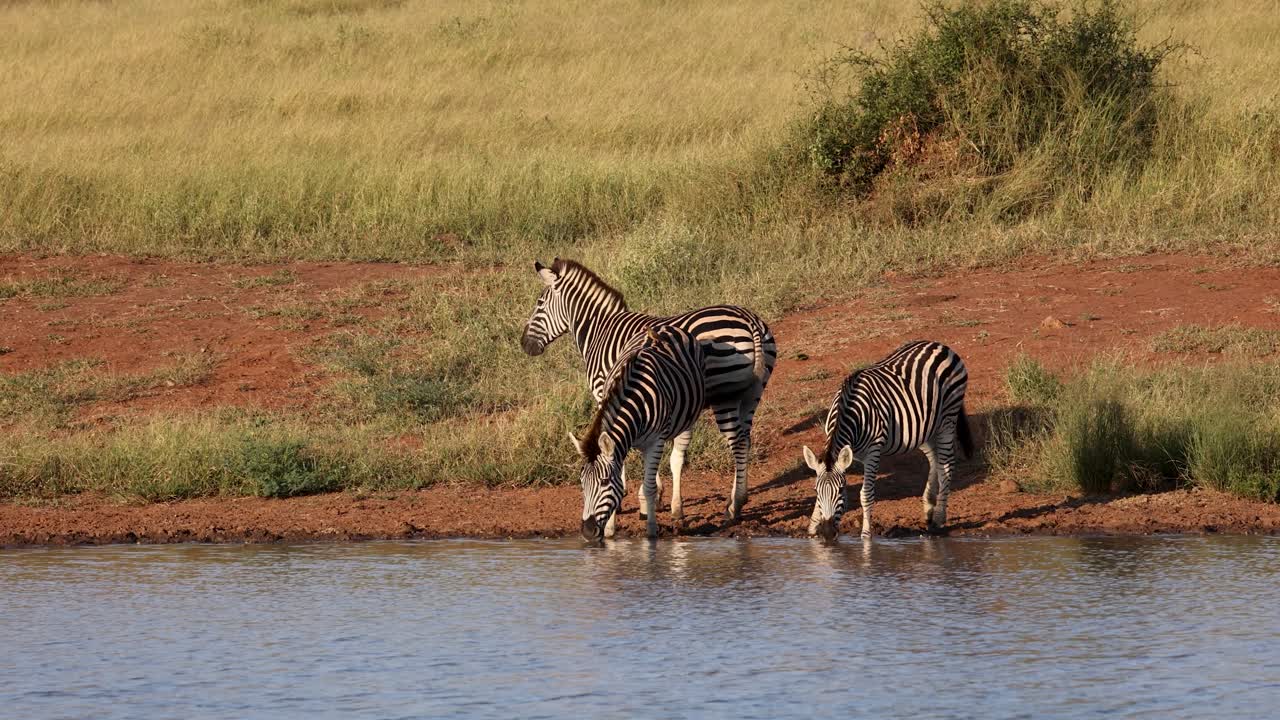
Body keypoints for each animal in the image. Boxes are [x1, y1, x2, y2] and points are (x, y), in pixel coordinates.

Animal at [571, 326, 705, 542]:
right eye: (582, 483)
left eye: (604, 482)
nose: (587, 532)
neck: (635, 401)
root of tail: (665, 327)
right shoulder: (623, 444)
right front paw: (610, 530)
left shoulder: (656, 441)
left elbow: (649, 487)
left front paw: (651, 531)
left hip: (689, 417)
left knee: (677, 460)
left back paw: (677, 510)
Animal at [802, 340, 973, 540]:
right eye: (816, 490)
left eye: (841, 490)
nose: (828, 533)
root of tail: (941, 346)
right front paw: (813, 526)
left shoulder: (873, 451)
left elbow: (866, 494)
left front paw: (866, 534)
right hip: (924, 428)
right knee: (935, 460)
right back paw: (929, 508)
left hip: (948, 419)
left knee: (946, 465)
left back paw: (939, 517)